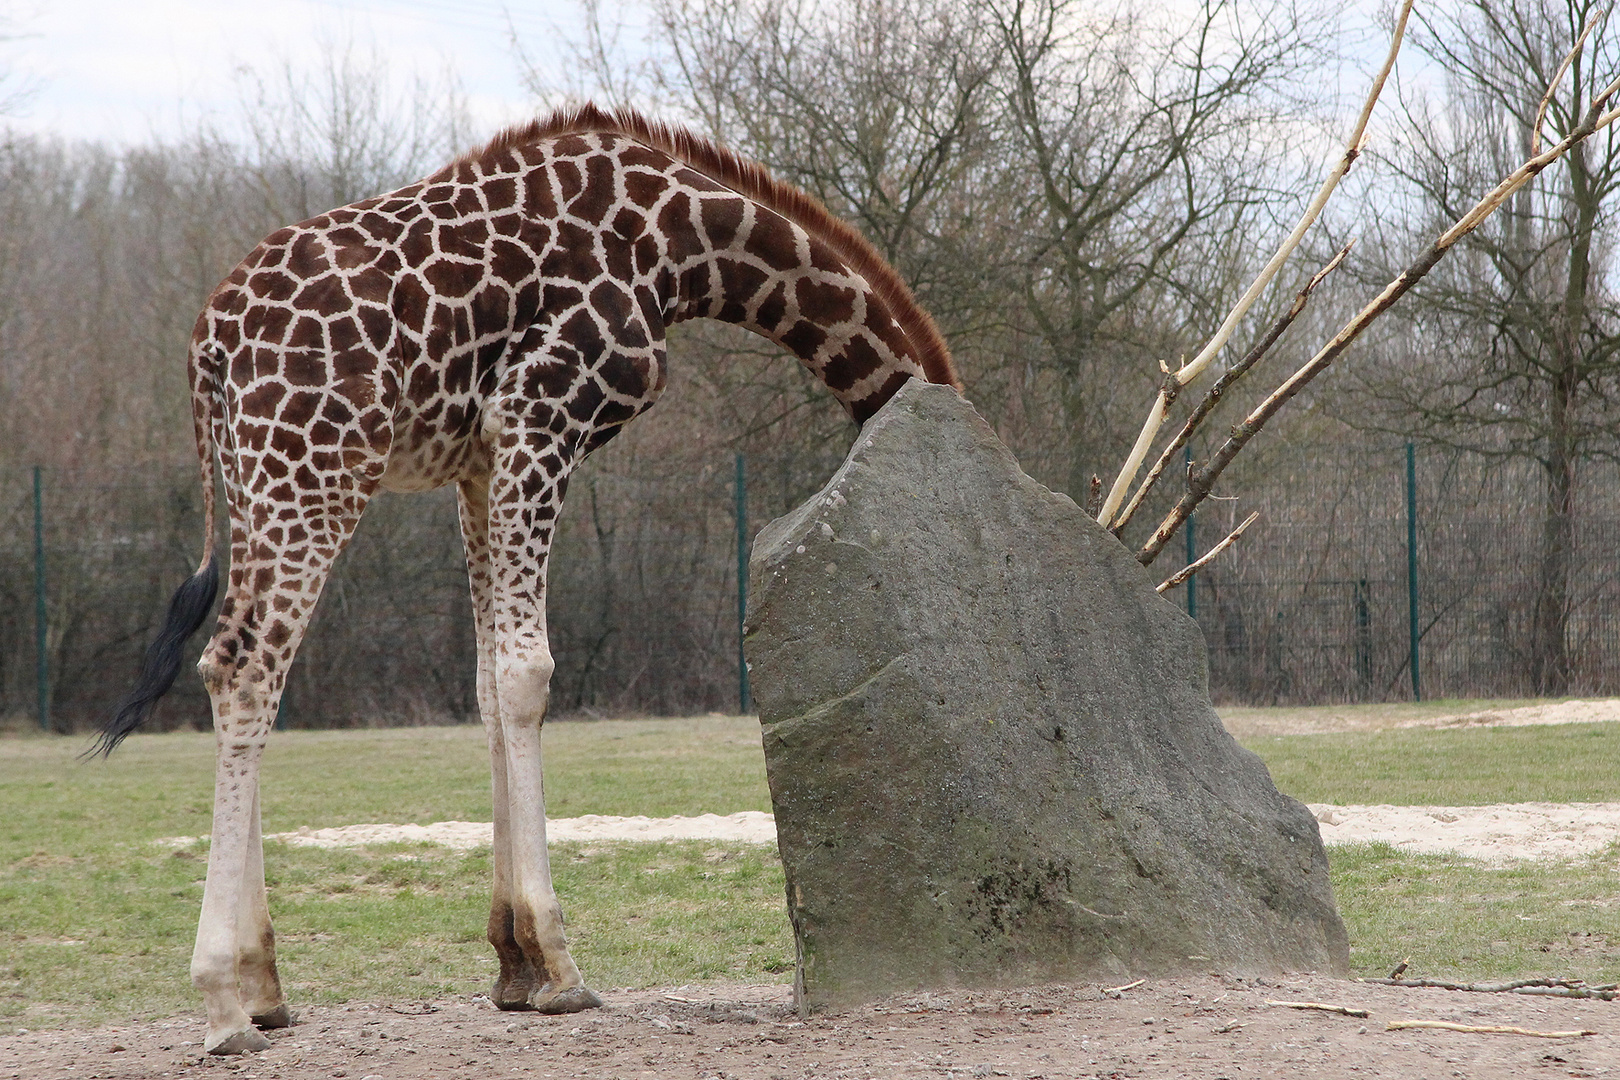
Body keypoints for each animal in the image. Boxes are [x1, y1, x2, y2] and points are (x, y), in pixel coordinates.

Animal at [98, 103, 959, 1055]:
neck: (685, 244)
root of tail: (206, 348)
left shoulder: (477, 461)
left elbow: (486, 681)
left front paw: (512, 963)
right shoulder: (541, 416)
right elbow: (528, 674)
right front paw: (559, 965)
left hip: (260, 480)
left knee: (231, 665)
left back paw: (265, 988)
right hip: (317, 469)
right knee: (248, 666)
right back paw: (222, 1003)